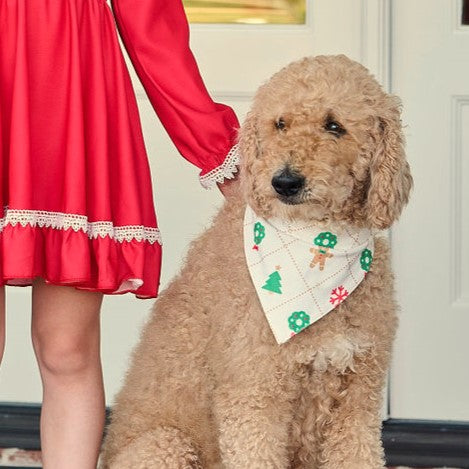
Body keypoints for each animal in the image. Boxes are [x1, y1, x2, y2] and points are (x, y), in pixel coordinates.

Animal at [100, 55, 412, 468]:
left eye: (335, 126)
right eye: (280, 123)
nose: (285, 182)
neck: (317, 249)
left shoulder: (358, 399)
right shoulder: (254, 398)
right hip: (165, 444)